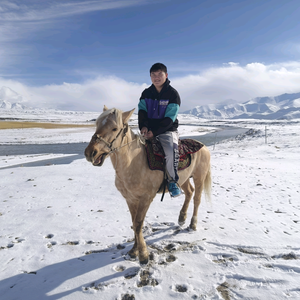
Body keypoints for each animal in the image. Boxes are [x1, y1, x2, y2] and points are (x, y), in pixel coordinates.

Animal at [84, 106, 211, 264]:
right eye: (97, 125)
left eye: (114, 128)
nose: (90, 153)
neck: (133, 162)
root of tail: (203, 146)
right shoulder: (130, 199)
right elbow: (134, 223)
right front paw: (134, 251)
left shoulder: (146, 198)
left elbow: (138, 224)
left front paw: (143, 255)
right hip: (183, 179)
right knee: (189, 192)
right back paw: (181, 218)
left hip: (199, 177)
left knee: (197, 199)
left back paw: (192, 224)